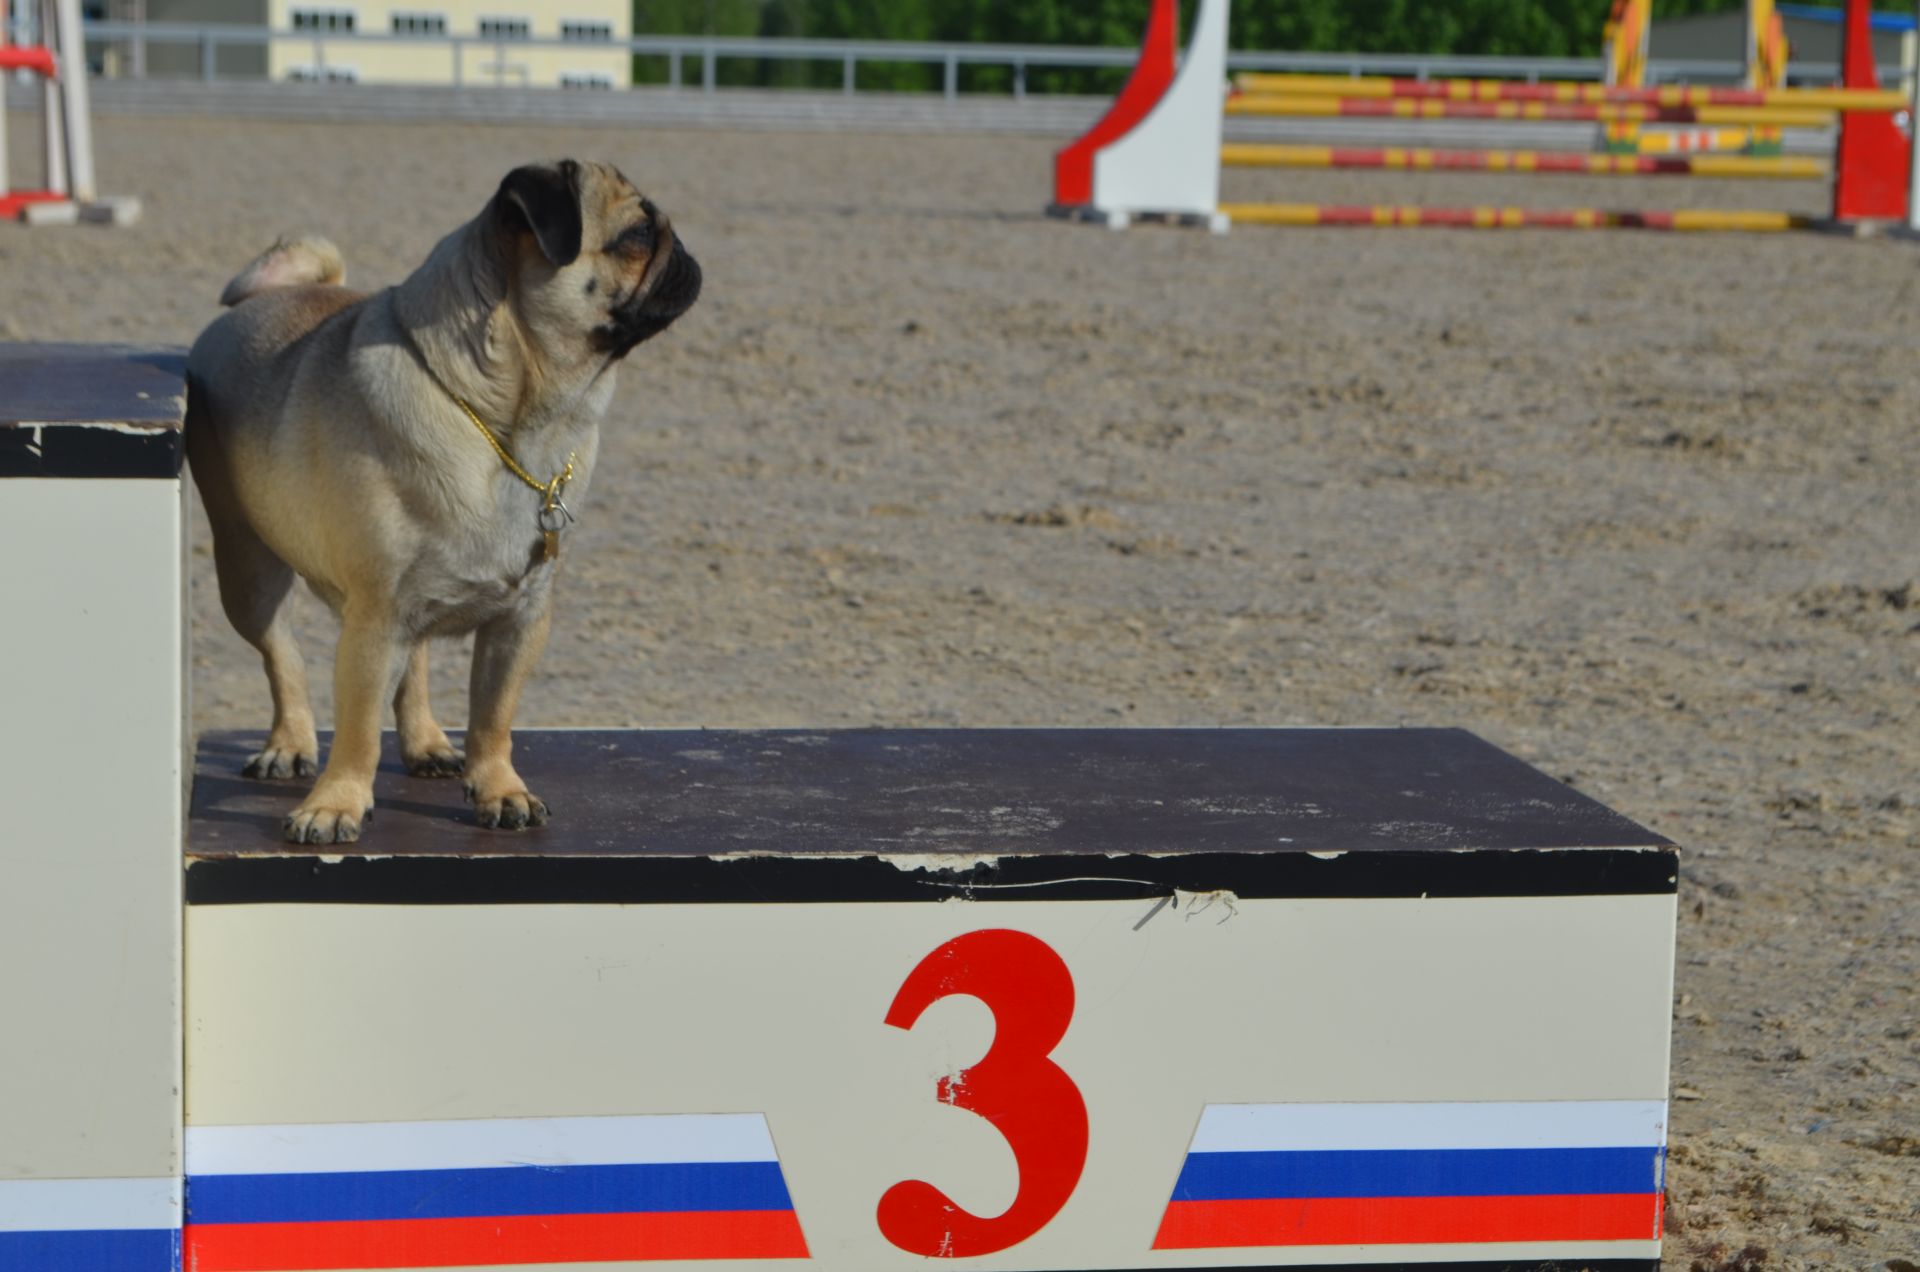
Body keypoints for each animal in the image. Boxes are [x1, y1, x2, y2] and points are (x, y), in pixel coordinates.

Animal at [181, 159, 698, 845]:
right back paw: (289, 743)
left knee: (415, 664)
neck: (510, 426)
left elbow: (494, 716)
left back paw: (425, 741)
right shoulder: (374, 621)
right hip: (248, 572)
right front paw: (337, 804)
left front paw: (500, 789)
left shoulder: (520, 619)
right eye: (637, 235)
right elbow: (356, 731)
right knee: (282, 652)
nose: (685, 250)